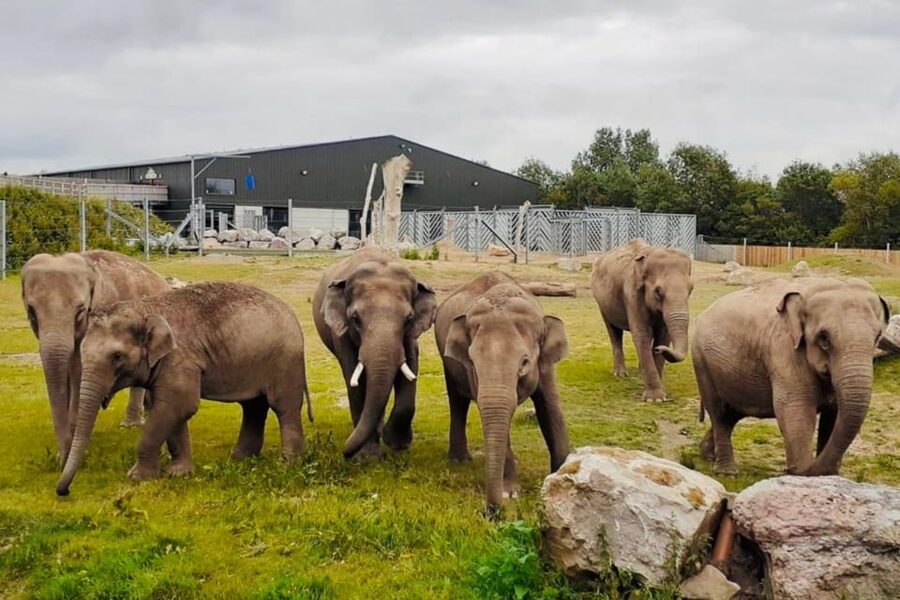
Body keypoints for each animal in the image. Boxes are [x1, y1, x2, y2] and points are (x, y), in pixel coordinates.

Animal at [56, 282, 311, 496]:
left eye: (117, 356)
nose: (63, 491)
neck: (145, 309)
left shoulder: (179, 359)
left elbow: (180, 405)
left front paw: (137, 477)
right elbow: (170, 409)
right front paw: (179, 473)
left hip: (285, 361)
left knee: (283, 407)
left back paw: (287, 465)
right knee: (253, 407)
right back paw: (240, 460)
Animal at [312, 248, 436, 459]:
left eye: (408, 319)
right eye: (355, 319)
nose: (344, 453)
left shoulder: (411, 335)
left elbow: (410, 365)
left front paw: (397, 444)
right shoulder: (341, 334)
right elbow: (355, 378)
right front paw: (368, 457)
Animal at [435, 272, 570, 517]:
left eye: (525, 362)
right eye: (472, 361)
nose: (491, 512)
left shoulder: (545, 365)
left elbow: (550, 408)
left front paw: (563, 475)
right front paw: (510, 494)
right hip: (446, 359)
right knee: (457, 401)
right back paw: (460, 460)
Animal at [591, 239, 693, 402]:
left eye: (691, 289)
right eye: (658, 291)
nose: (658, 350)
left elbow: (663, 336)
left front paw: (661, 394)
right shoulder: (631, 293)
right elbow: (642, 334)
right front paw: (655, 399)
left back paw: (640, 372)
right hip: (602, 304)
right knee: (613, 332)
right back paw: (620, 374)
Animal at [692, 277, 889, 476]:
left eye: (878, 336)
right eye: (824, 338)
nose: (790, 469)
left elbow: (834, 415)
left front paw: (829, 475)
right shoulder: (784, 349)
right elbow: (796, 409)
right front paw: (802, 472)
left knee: (731, 414)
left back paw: (708, 455)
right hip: (702, 362)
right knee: (719, 413)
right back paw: (728, 472)